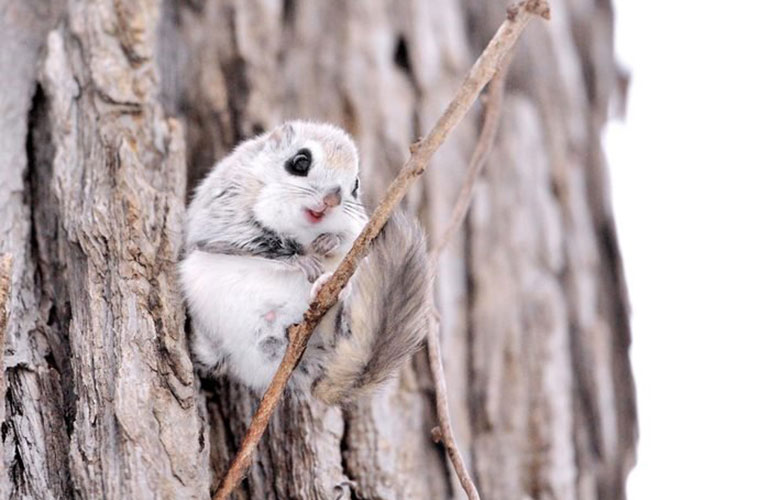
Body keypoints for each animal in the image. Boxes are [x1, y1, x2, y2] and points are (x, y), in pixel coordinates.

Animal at [179, 120, 429, 405]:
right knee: (212, 357)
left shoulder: (358, 227)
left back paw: (328, 289)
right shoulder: (224, 214)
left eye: (355, 185)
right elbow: (255, 242)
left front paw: (329, 242)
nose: (333, 199)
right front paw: (303, 260)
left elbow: (349, 240)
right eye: (300, 162)